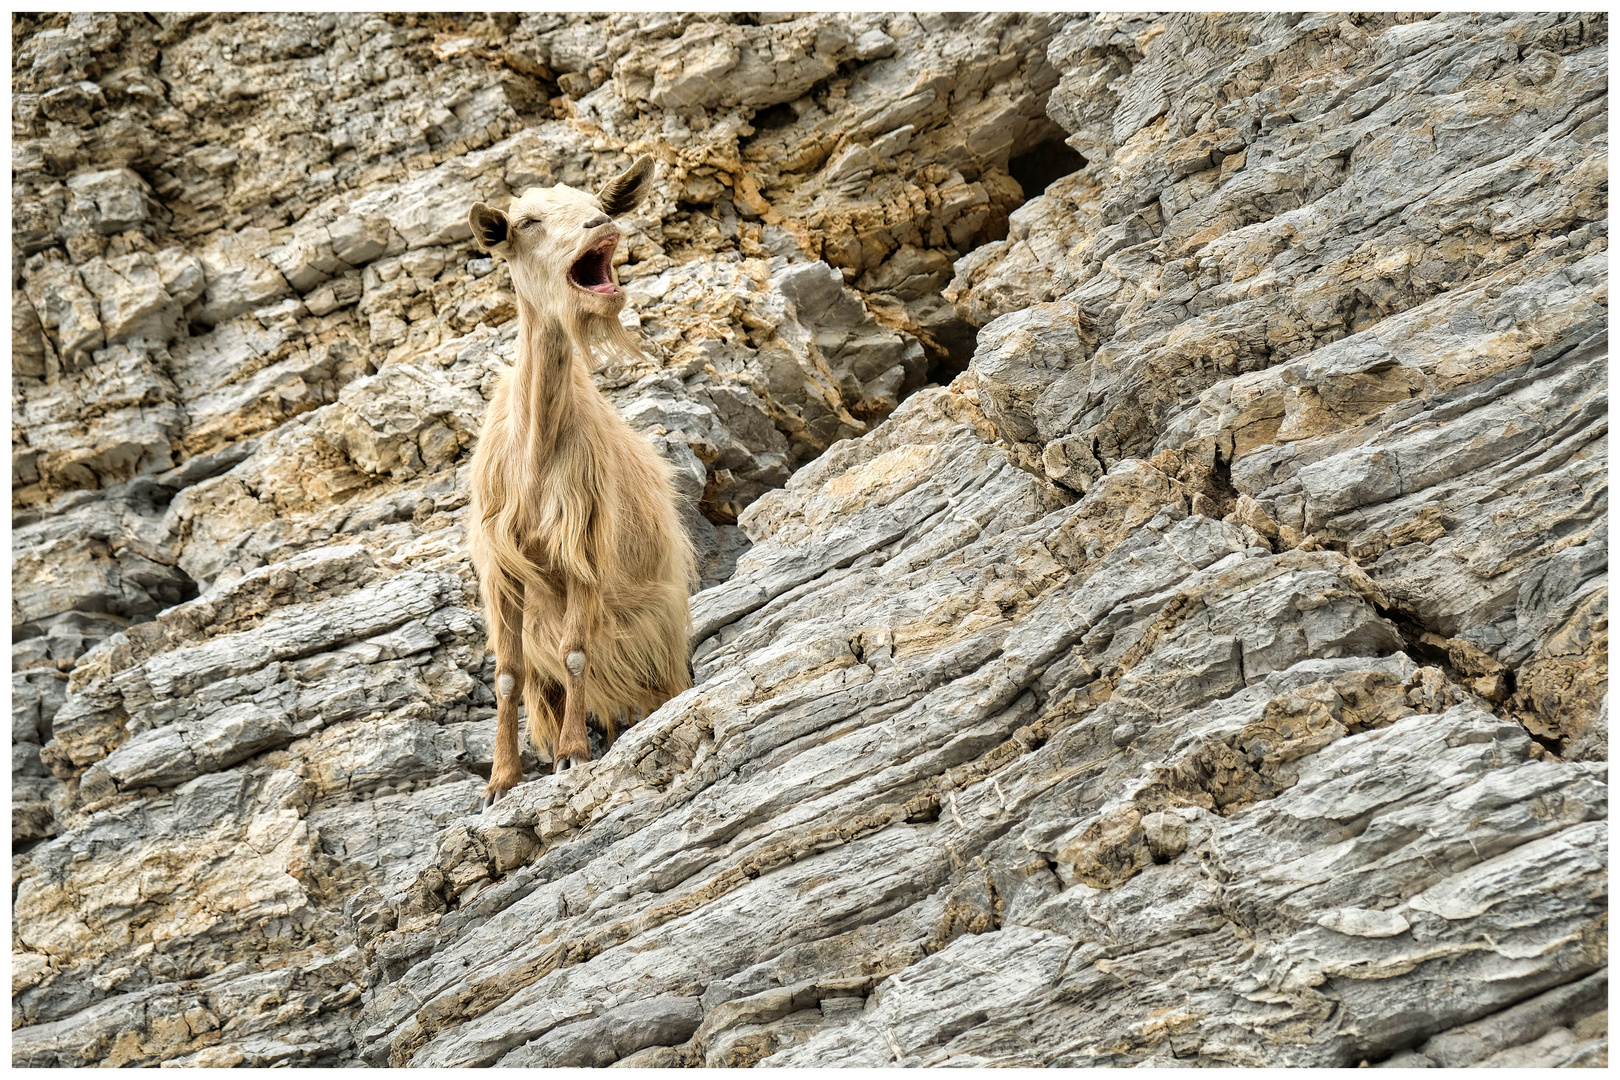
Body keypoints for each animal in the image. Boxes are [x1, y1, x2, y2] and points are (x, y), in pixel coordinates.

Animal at [469, 153, 696, 809]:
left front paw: (572, 756)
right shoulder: (502, 569)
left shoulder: (584, 549)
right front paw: (500, 782)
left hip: (659, 636)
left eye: (596, 202)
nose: (601, 224)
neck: (535, 453)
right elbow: (507, 674)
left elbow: (574, 654)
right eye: (527, 221)